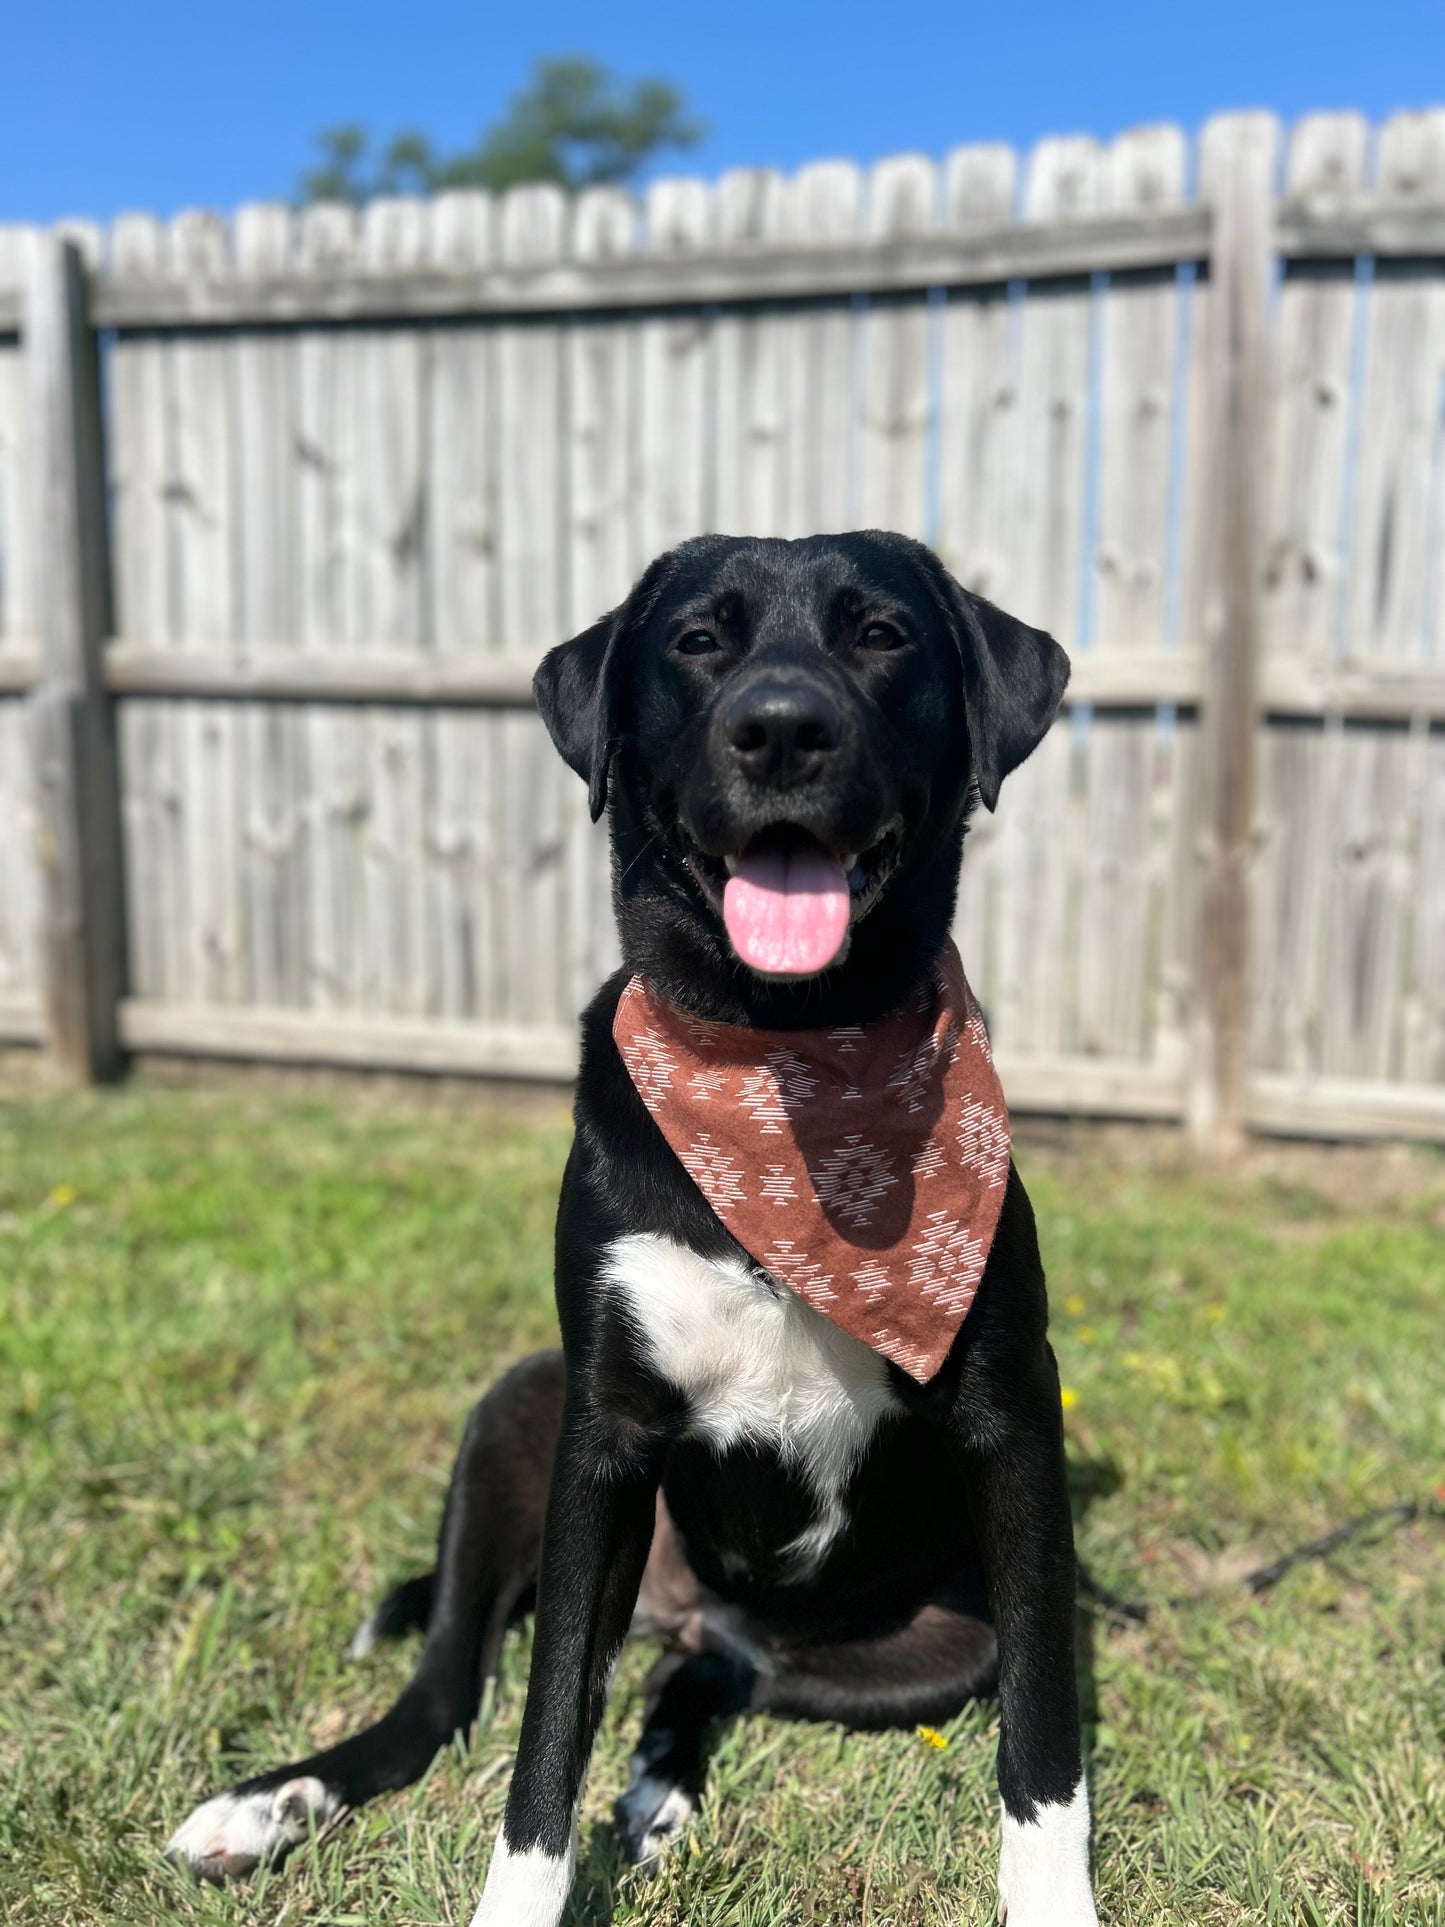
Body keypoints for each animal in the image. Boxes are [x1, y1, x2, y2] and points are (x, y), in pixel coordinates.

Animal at [166, 531, 1094, 1927]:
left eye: (881, 634)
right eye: (695, 642)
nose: (781, 727)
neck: (782, 1071)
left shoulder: (1013, 1427)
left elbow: (1040, 1741)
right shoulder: (596, 1441)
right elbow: (546, 1727)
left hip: (921, 1639)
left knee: (713, 1664)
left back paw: (661, 1788)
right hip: (517, 1405)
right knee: (449, 1691)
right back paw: (273, 1800)